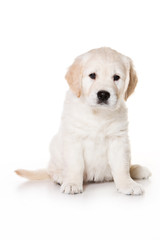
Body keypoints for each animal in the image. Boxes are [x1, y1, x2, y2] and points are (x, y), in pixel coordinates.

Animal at [15, 47, 151, 195]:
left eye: (116, 77)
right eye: (92, 75)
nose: (103, 94)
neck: (97, 114)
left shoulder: (118, 139)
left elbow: (121, 166)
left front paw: (127, 184)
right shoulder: (74, 137)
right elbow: (75, 164)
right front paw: (72, 183)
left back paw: (137, 170)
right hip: (54, 147)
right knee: (51, 170)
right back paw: (60, 176)